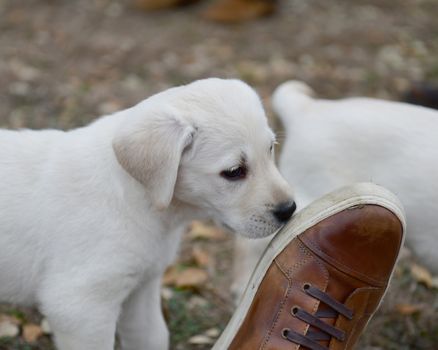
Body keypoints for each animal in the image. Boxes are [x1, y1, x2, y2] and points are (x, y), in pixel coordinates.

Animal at [0, 78, 294, 350]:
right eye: (234, 172)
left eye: (270, 148)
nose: (289, 209)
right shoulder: (81, 307)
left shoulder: (142, 289)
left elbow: (152, 337)